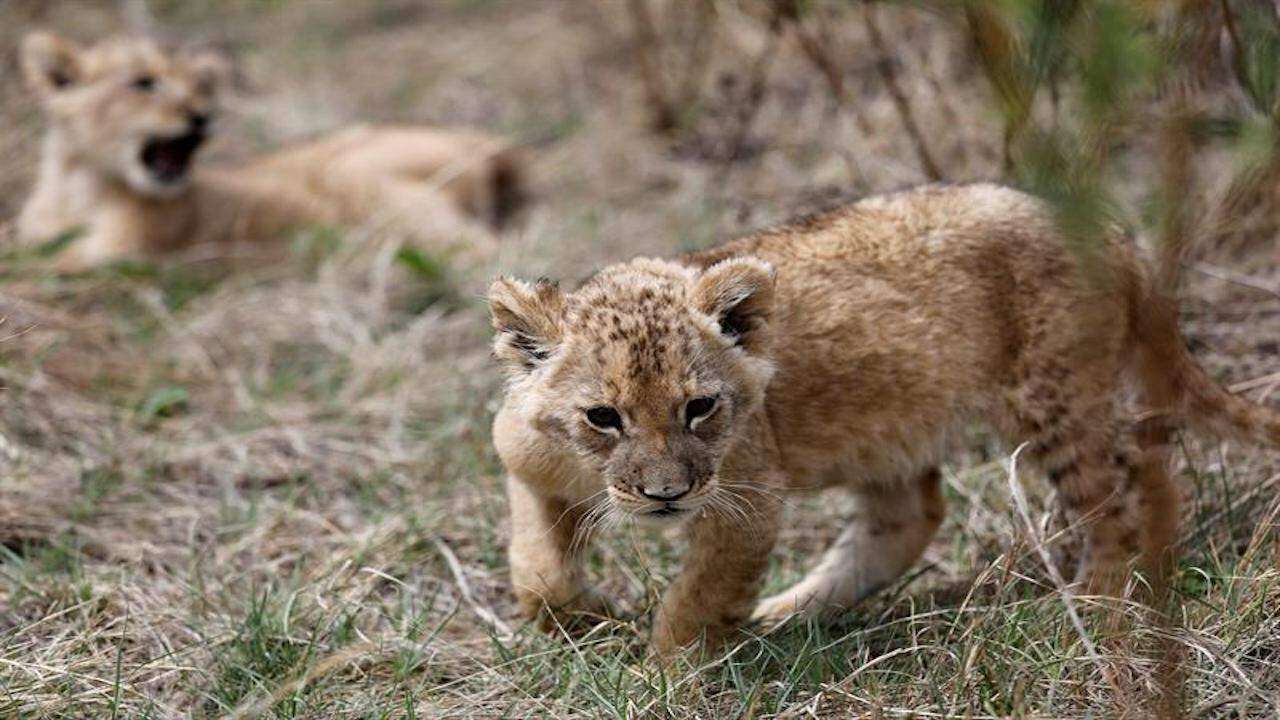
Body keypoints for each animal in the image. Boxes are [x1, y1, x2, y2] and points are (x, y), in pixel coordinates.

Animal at [16, 31, 526, 270]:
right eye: (144, 82)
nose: (202, 115)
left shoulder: (122, 252)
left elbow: (46, 265)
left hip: (357, 176)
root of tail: (489, 142)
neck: (75, 187)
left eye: (202, 86)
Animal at [488, 183, 1280, 654]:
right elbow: (536, 563)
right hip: (888, 432)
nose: (666, 496)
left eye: (700, 407)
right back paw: (788, 612)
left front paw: (666, 670)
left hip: (1054, 398)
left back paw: (1093, 607)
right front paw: (577, 617)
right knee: (908, 519)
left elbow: (700, 597)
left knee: (1120, 491)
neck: (592, 475)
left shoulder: (748, 500)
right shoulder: (524, 462)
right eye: (603, 416)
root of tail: (1115, 234)